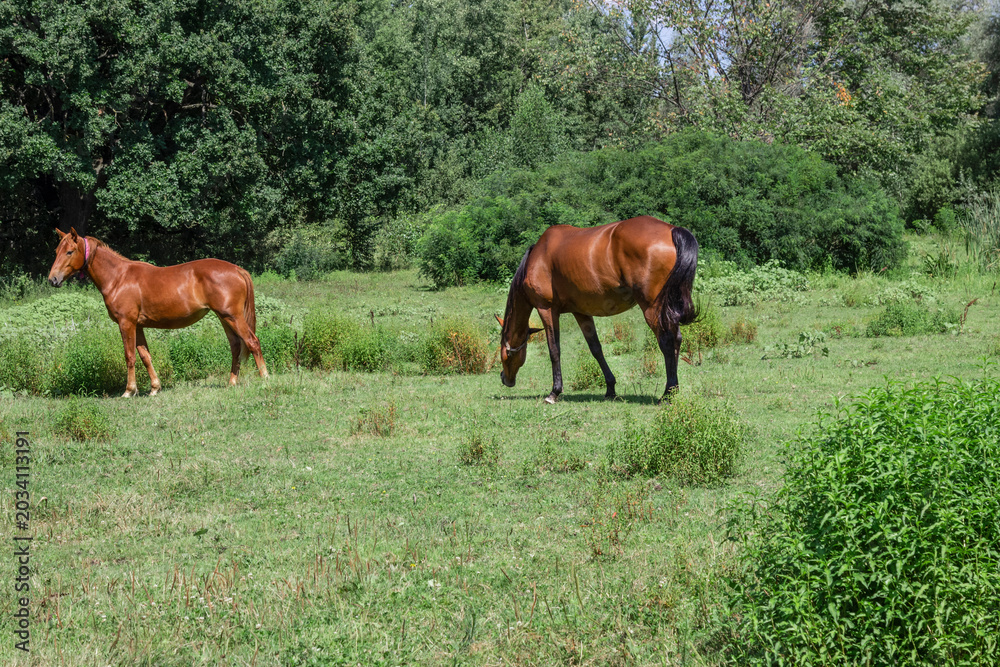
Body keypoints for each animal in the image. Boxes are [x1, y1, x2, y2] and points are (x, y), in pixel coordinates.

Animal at [47, 228, 268, 397]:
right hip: (225, 318)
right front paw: (155, 388)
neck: (119, 278)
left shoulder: (126, 323)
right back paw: (231, 382)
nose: (52, 279)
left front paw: (129, 391)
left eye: (70, 251)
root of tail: (237, 269)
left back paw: (265, 379)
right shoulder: (138, 326)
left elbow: (129, 356)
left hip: (233, 317)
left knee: (252, 342)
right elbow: (145, 356)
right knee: (236, 347)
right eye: (57, 250)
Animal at [496, 216, 698, 404]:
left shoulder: (546, 309)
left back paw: (667, 393)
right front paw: (610, 388)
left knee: (667, 342)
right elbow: (596, 349)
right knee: (676, 339)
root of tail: (671, 230)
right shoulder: (581, 312)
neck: (538, 257)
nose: (504, 379)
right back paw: (674, 390)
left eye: (504, 353)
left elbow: (554, 350)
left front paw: (554, 392)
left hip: (653, 309)